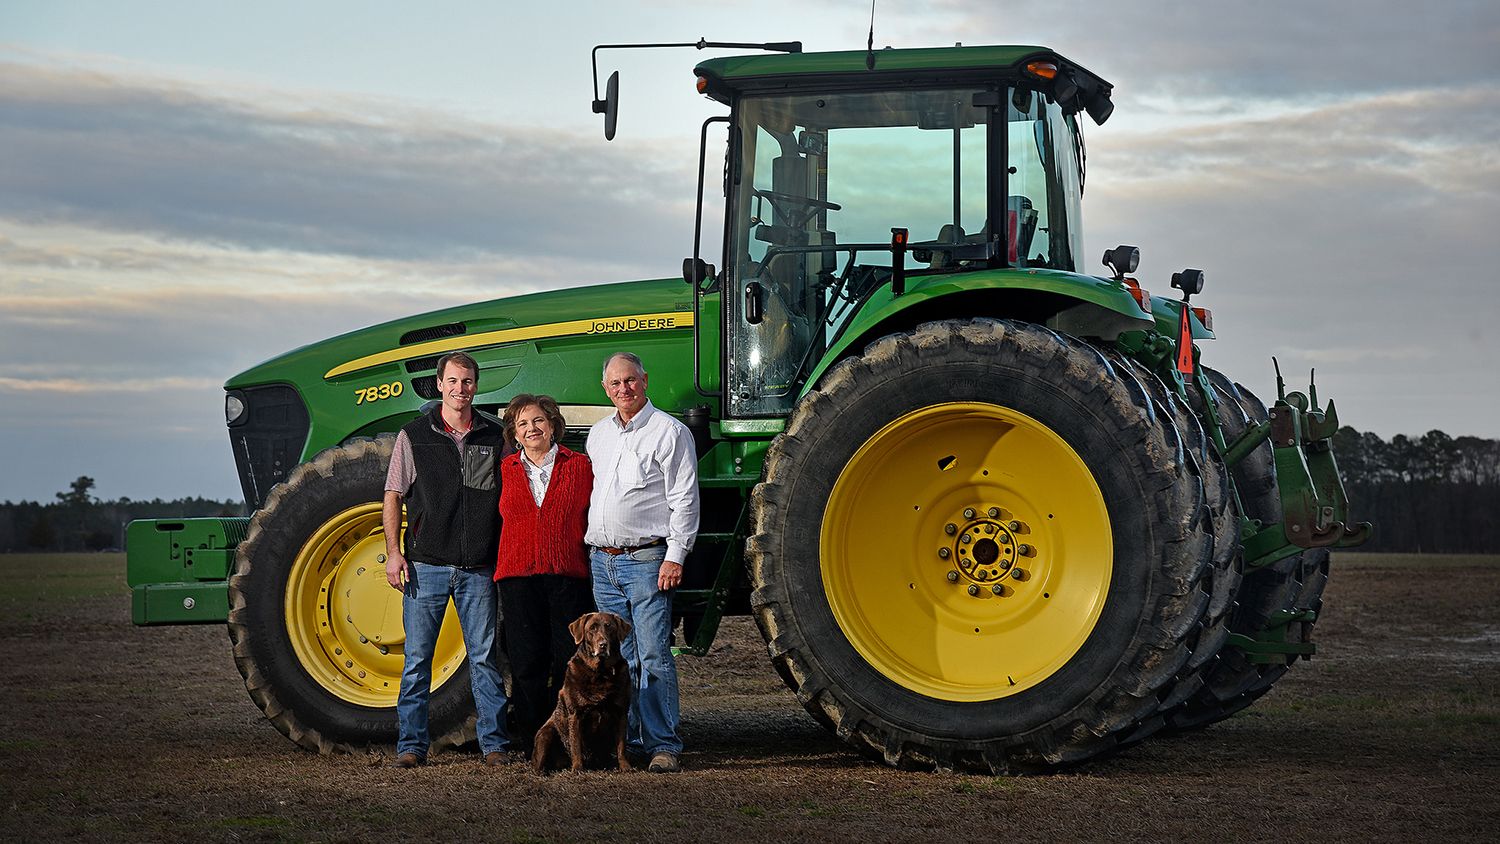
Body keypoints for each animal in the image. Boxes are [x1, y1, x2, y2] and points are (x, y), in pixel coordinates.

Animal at [534, 611, 633, 773]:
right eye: (592, 629)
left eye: (610, 627)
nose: (602, 645)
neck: (600, 673)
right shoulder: (576, 713)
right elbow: (576, 745)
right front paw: (577, 768)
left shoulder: (621, 712)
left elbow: (621, 745)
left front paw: (625, 766)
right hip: (545, 734)